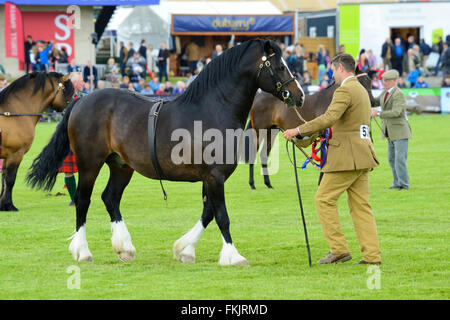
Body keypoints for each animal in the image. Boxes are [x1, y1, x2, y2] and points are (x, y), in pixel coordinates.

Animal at [0, 73, 74, 212]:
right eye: (71, 93)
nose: (70, 111)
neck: (14, 114)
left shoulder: (7, 156)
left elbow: (4, 179)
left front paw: (3, 204)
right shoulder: (15, 154)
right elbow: (10, 180)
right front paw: (9, 205)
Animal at [27, 39, 306, 264]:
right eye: (280, 66)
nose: (300, 96)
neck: (212, 109)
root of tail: (82, 100)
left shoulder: (211, 177)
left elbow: (207, 213)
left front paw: (185, 250)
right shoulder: (214, 176)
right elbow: (221, 216)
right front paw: (233, 256)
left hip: (120, 166)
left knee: (111, 198)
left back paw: (125, 248)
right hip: (89, 164)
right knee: (83, 201)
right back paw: (83, 252)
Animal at [244, 72, 374, 189]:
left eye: (371, 84)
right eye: (361, 84)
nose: (372, 102)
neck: (330, 100)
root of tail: (257, 98)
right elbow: (324, 157)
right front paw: (322, 181)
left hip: (271, 131)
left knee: (264, 154)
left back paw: (268, 184)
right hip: (259, 130)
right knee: (254, 153)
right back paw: (252, 184)